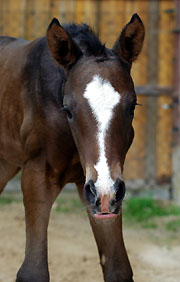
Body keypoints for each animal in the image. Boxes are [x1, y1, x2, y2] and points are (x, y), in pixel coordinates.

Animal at [0, 13, 144, 282]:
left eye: (132, 106)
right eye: (67, 109)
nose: (105, 193)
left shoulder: (100, 194)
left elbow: (117, 268)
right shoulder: (37, 176)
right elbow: (33, 271)